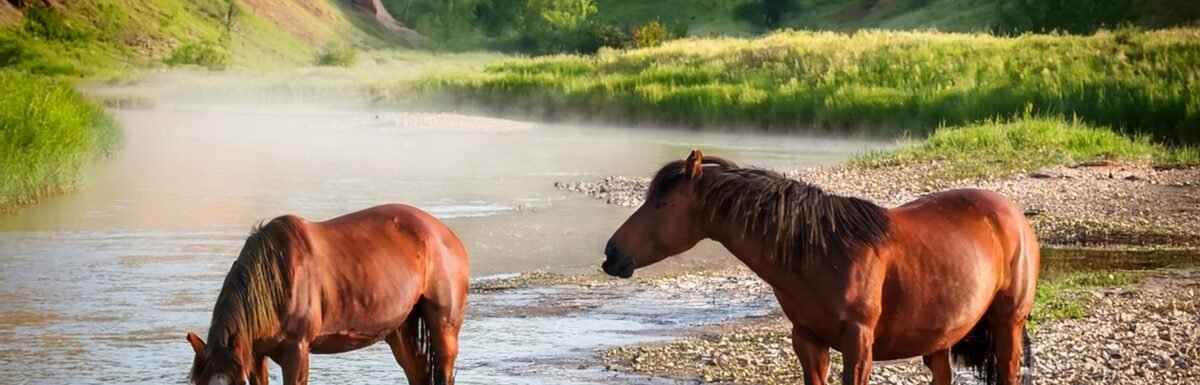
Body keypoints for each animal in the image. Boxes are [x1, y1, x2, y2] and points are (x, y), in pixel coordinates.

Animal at [604, 149, 1036, 383]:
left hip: (1008, 324)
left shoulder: (858, 342)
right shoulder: (808, 340)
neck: (823, 253)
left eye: (661, 204)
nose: (611, 254)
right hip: (942, 338)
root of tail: (1011, 212)